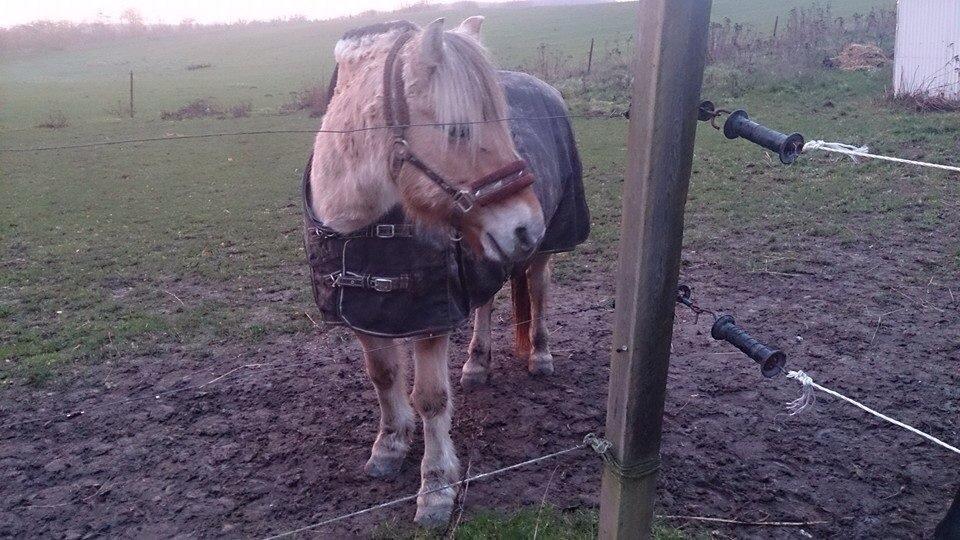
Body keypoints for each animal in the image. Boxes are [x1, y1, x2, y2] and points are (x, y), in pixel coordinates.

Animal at [306, 16, 592, 528]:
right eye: (458, 130)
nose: (527, 225)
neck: (359, 223)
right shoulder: (365, 314)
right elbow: (383, 378)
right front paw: (389, 447)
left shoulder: (429, 321)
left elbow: (430, 399)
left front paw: (436, 488)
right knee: (487, 304)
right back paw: (477, 364)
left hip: (543, 253)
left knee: (539, 291)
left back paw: (540, 356)